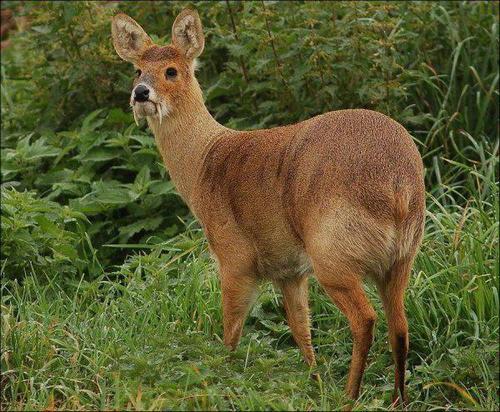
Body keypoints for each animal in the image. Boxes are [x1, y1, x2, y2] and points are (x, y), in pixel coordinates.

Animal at [112, 8, 426, 404]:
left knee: (365, 319)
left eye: (172, 70)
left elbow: (231, 331)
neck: (204, 162)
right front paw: (313, 381)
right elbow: (300, 328)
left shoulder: (235, 258)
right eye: (137, 69)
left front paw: (223, 381)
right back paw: (397, 398)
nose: (140, 93)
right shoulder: (288, 270)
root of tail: (398, 186)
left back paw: (349, 396)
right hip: (401, 258)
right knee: (400, 326)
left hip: (333, 254)